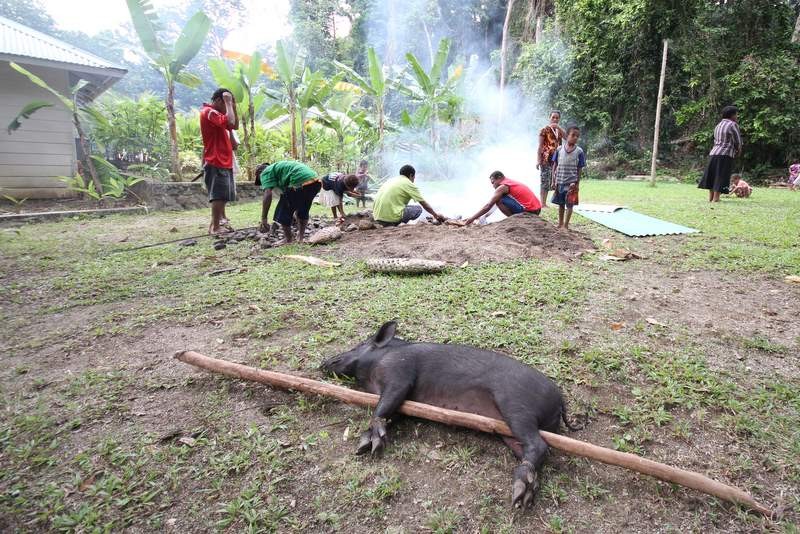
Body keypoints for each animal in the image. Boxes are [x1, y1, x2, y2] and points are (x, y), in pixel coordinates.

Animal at [320, 322, 580, 510]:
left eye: (360, 344)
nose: (323, 361)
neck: (373, 374)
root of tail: (560, 399)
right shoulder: (406, 403)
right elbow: (391, 414)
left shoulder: (399, 374)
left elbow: (382, 406)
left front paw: (366, 447)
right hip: (511, 432)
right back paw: (525, 495)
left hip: (516, 406)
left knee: (540, 445)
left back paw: (518, 496)